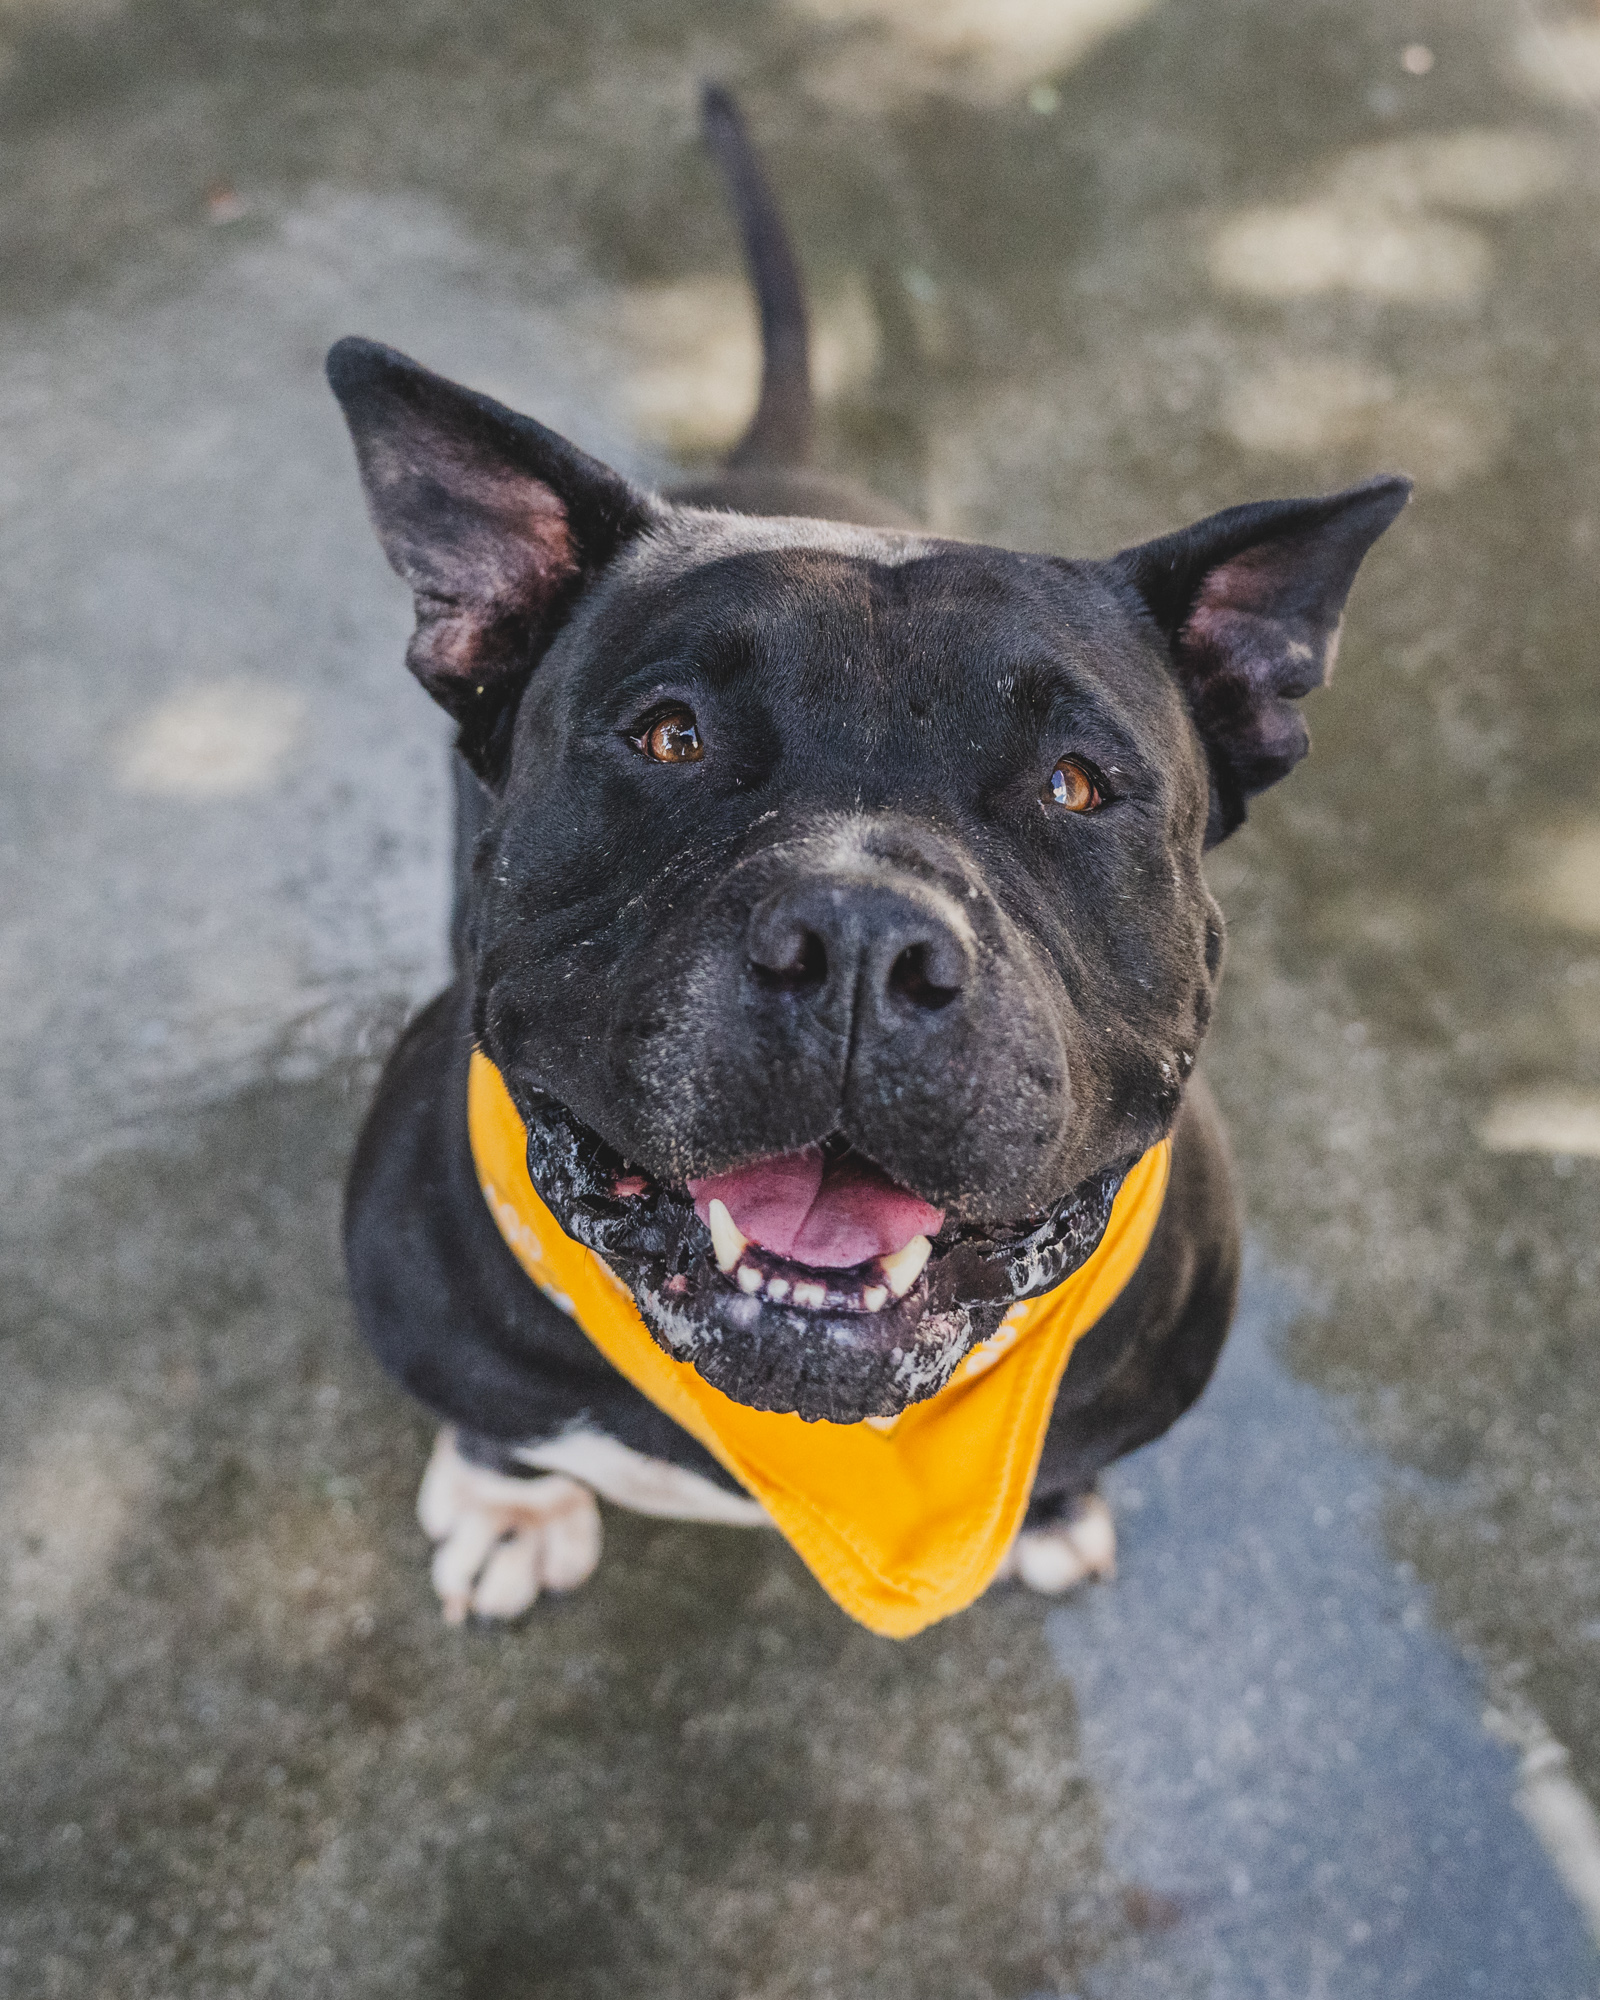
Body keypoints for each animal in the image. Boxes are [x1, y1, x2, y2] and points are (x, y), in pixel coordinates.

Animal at [332, 86, 1408, 1632]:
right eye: (670, 736)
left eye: (1077, 785)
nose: (854, 941)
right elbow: (491, 1412)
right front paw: (507, 1498)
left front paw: (1053, 1505)